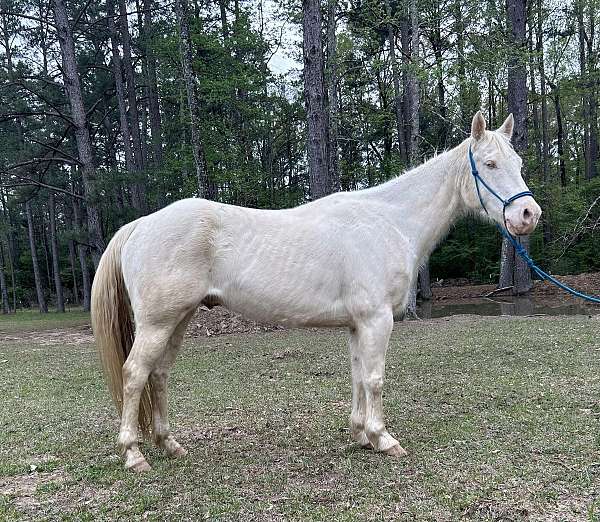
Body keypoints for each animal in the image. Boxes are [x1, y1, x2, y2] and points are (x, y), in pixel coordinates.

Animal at [90, 111, 544, 470]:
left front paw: (361, 435)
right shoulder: (377, 320)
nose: (528, 214)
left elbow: (358, 377)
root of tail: (142, 224)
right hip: (158, 322)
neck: (389, 222)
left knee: (159, 374)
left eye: (519, 162)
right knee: (135, 374)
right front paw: (384, 439)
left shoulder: (358, 325)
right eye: (489, 164)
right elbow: (375, 379)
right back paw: (134, 454)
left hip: (179, 319)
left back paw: (170, 445)